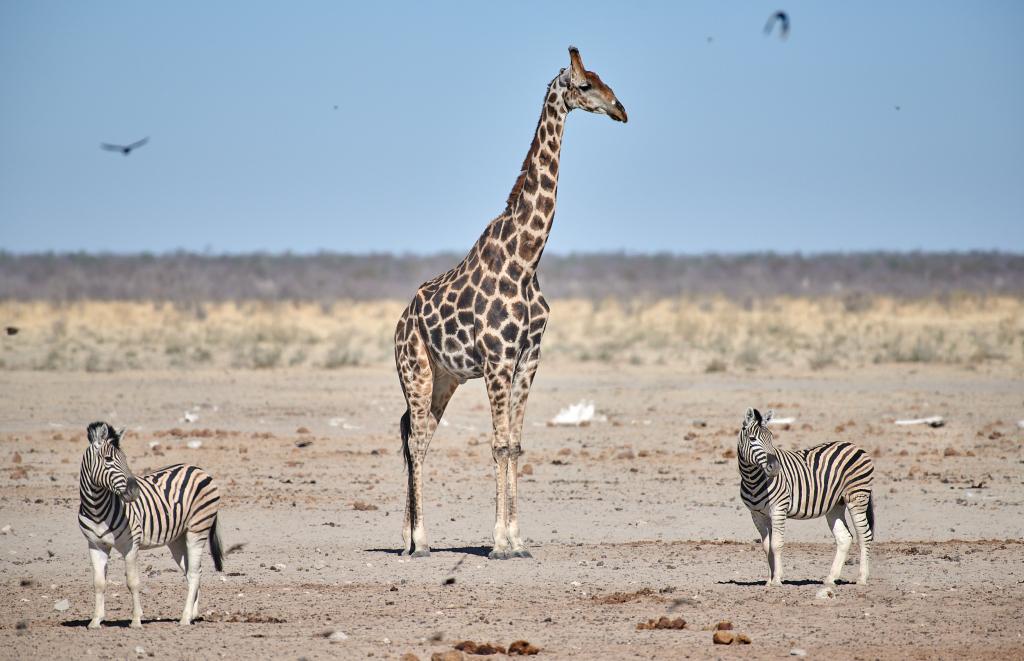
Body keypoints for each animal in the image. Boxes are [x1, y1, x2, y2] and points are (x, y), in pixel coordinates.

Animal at [78, 421, 224, 630]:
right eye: (108, 459)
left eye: (125, 458)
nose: (134, 492)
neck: (96, 508)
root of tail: (197, 468)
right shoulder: (95, 545)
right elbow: (99, 583)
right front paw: (96, 621)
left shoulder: (130, 544)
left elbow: (133, 582)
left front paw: (136, 620)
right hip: (177, 539)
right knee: (192, 572)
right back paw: (192, 614)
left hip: (197, 529)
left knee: (195, 573)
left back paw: (185, 618)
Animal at [393, 45, 626, 560]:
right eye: (585, 85)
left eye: (606, 80)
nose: (621, 110)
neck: (527, 256)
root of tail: (398, 324)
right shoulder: (498, 359)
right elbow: (498, 444)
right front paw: (500, 543)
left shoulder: (528, 358)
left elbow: (515, 444)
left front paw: (518, 540)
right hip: (415, 370)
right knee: (415, 440)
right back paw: (419, 543)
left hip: (445, 379)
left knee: (414, 434)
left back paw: (408, 537)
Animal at [737, 411, 872, 589]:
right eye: (752, 439)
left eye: (771, 437)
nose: (775, 468)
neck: (752, 479)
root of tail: (853, 445)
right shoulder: (757, 514)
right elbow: (766, 546)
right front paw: (769, 581)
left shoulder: (778, 508)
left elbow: (776, 544)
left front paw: (777, 580)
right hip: (836, 504)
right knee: (844, 538)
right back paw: (831, 578)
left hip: (857, 496)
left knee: (864, 535)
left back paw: (862, 579)